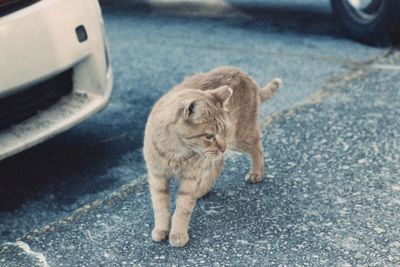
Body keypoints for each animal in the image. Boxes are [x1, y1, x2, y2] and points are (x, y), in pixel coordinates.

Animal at [144, 66, 282, 248]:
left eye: (223, 130)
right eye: (209, 136)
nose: (222, 147)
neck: (175, 151)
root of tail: (241, 72)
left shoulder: (190, 177)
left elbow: (182, 208)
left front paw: (178, 234)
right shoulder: (157, 176)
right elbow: (159, 206)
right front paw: (161, 229)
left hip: (240, 137)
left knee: (257, 148)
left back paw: (256, 173)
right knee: (218, 164)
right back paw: (202, 189)